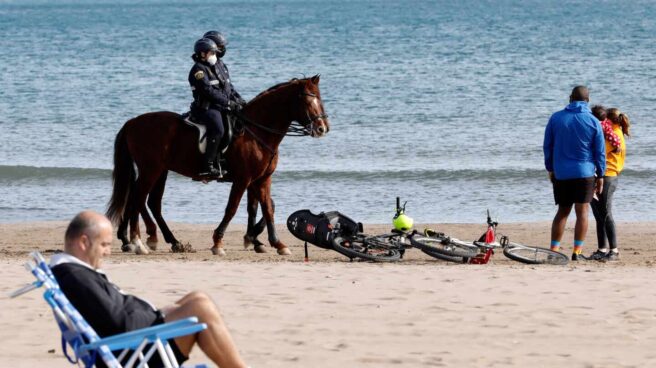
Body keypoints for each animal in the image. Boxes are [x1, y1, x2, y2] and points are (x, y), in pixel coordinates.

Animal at [109, 75, 334, 256]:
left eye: (319, 97)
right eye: (307, 98)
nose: (322, 128)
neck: (256, 131)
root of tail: (133, 122)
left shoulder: (262, 179)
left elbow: (267, 208)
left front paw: (274, 243)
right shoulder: (243, 179)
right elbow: (232, 208)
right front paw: (219, 242)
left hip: (160, 171)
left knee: (150, 202)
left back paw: (168, 241)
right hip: (151, 169)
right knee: (137, 198)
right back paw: (139, 242)